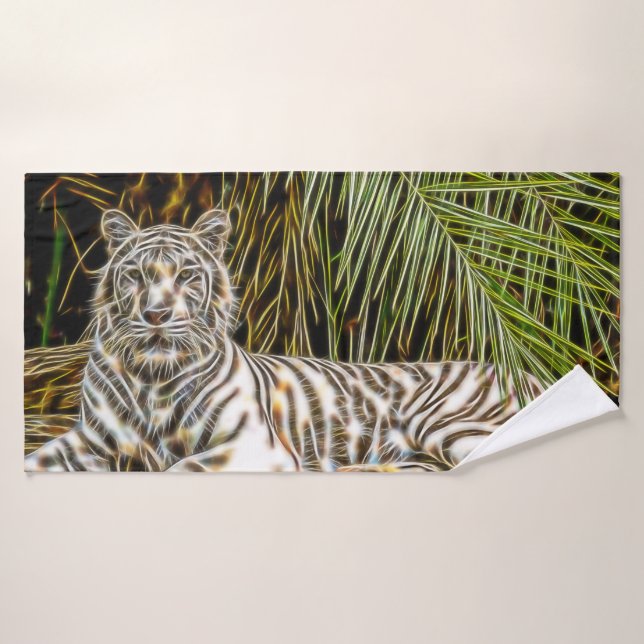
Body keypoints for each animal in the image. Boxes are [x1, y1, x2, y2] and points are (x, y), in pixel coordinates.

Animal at [24, 208, 543, 473]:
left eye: (186, 275)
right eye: (135, 275)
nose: (156, 315)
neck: (152, 376)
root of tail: (528, 369)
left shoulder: (254, 446)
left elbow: (180, 468)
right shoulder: (91, 439)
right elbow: (35, 461)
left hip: (447, 425)